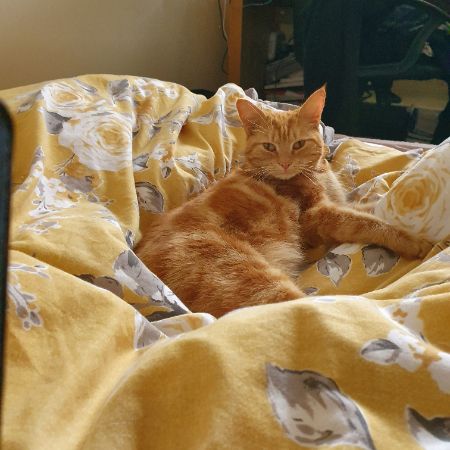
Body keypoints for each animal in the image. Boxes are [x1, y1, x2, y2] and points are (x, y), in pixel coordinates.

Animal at [136, 86, 431, 317]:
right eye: (269, 147)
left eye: (299, 144)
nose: (285, 163)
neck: (316, 173)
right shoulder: (319, 215)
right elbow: (369, 223)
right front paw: (412, 240)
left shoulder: (339, 204)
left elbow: (370, 208)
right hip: (254, 278)